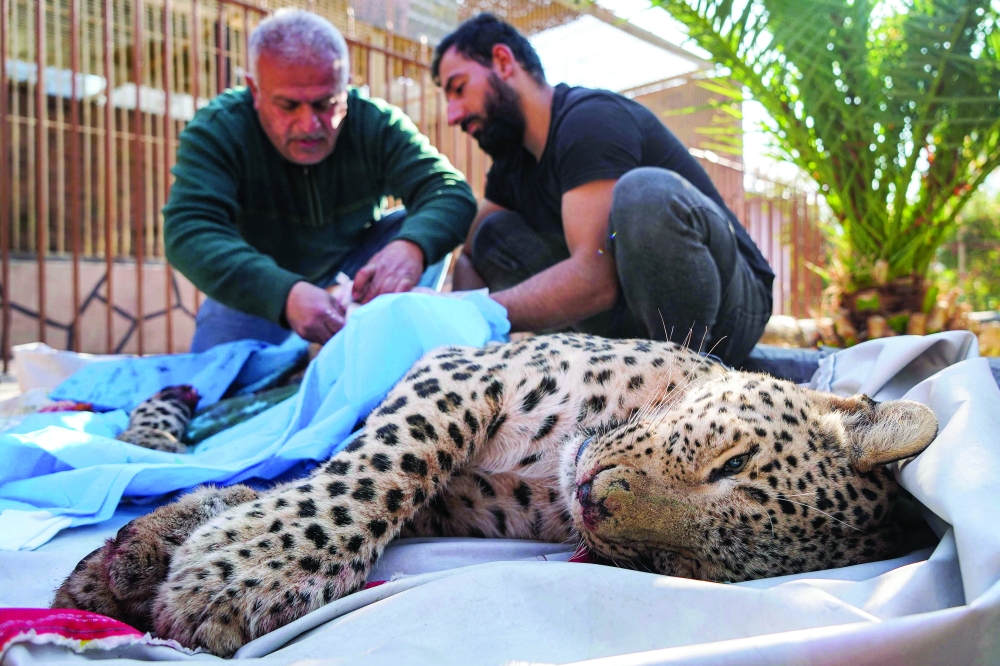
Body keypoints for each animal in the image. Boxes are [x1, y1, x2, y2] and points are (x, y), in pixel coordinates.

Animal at [53, 332, 938, 656]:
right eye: (729, 460)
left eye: (679, 569)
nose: (597, 498)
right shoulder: (461, 371)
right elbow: (374, 468)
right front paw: (247, 571)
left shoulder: (455, 502)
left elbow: (341, 485)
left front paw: (160, 558)